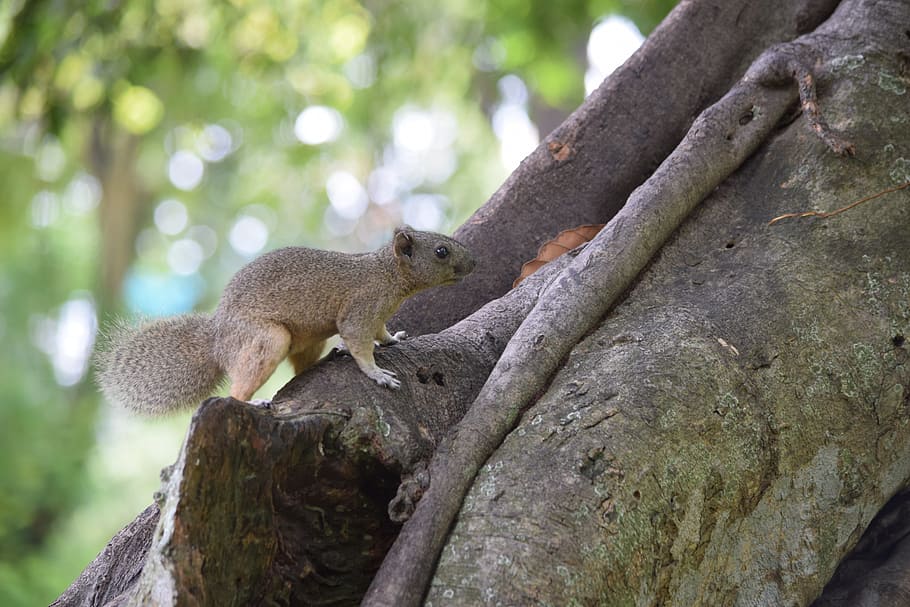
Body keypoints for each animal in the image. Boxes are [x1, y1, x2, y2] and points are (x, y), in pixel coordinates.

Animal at [96, 226, 474, 415]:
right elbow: (360, 344)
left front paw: (394, 338)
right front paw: (378, 374)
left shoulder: (376, 315)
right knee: (236, 390)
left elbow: (380, 334)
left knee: (301, 368)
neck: (388, 274)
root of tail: (218, 341)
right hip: (265, 340)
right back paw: (253, 401)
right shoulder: (361, 309)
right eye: (441, 251)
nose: (474, 262)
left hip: (307, 340)